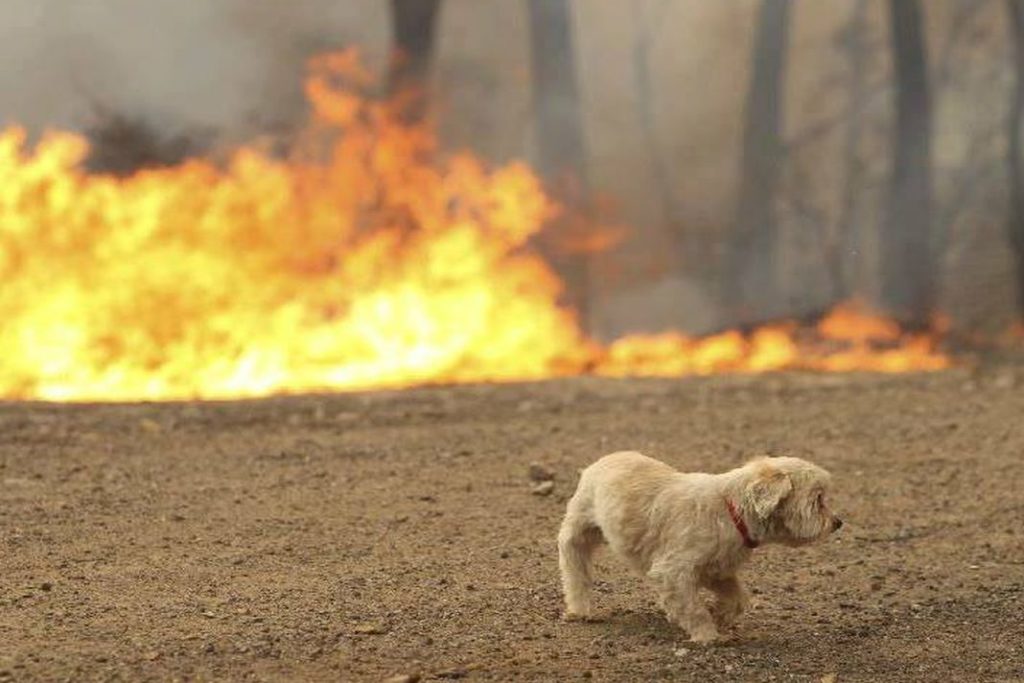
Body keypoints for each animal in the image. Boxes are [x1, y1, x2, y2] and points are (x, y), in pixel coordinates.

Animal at [561, 454, 839, 643]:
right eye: (817, 500)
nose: (839, 523)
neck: (732, 510)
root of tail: (603, 460)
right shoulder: (674, 571)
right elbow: (692, 608)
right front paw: (707, 634)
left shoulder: (715, 569)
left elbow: (738, 597)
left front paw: (721, 615)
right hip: (579, 530)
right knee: (574, 567)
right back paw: (579, 609)